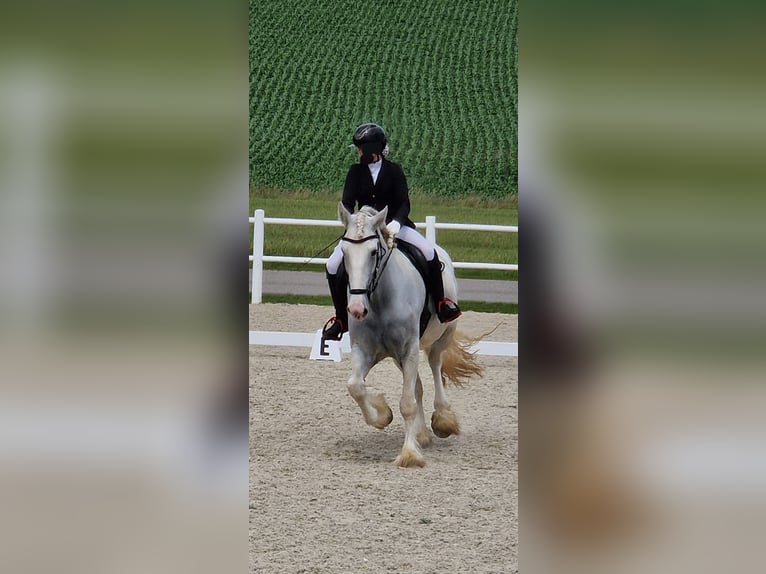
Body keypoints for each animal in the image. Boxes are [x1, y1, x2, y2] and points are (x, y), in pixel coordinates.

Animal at [340, 205, 484, 470]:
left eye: (374, 252)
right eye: (344, 252)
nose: (356, 309)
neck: (380, 300)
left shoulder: (408, 349)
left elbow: (406, 404)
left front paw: (409, 454)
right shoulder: (365, 350)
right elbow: (355, 386)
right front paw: (382, 415)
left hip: (440, 339)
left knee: (435, 367)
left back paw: (442, 419)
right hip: (402, 357)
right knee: (417, 387)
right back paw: (421, 434)